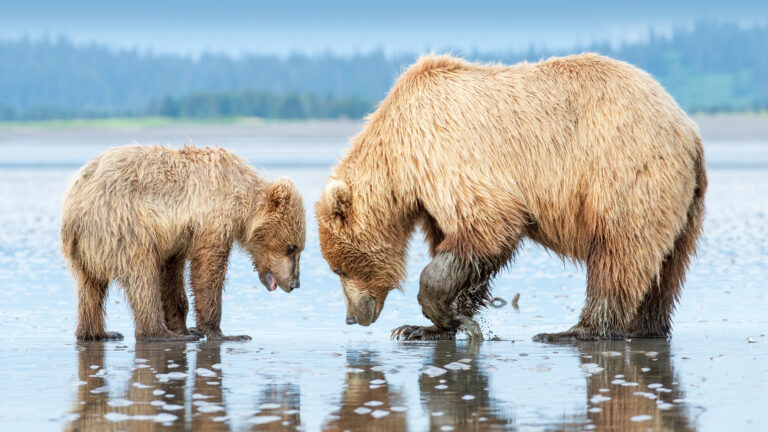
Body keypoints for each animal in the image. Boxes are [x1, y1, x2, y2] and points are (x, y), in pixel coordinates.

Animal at [61, 145, 305, 342]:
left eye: (298, 248)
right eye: (291, 248)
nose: (295, 283)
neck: (243, 200)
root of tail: (75, 205)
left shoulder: (176, 238)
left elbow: (171, 276)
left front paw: (186, 328)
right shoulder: (212, 216)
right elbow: (207, 269)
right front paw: (222, 333)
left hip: (88, 249)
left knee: (90, 288)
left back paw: (100, 333)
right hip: (123, 225)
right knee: (142, 276)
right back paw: (159, 334)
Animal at [315, 53, 707, 342]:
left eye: (339, 268)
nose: (352, 317)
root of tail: (688, 129)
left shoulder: (444, 152)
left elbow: (489, 224)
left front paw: (436, 312)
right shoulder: (430, 197)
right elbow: (459, 248)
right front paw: (427, 326)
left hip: (623, 168)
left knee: (618, 250)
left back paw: (574, 331)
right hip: (683, 203)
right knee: (666, 267)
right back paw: (647, 327)